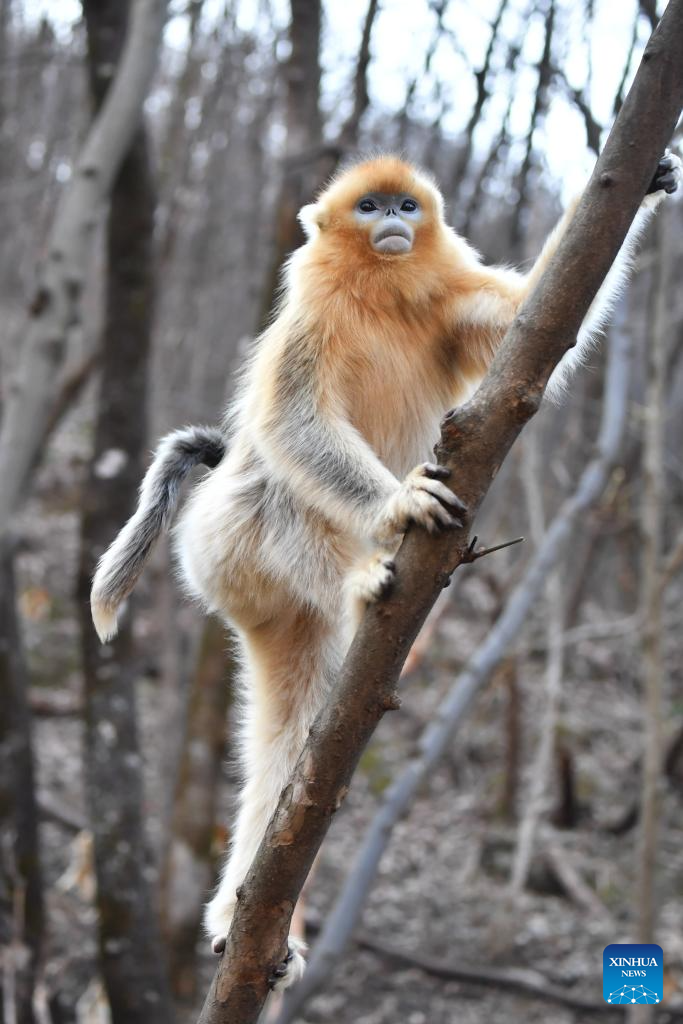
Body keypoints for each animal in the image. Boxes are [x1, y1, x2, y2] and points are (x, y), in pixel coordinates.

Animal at [90, 151, 681, 988]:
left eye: (405, 204)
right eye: (368, 207)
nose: (393, 222)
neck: (379, 290)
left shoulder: (455, 305)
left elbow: (533, 316)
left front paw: (646, 181)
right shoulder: (307, 323)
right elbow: (293, 421)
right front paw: (400, 502)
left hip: (267, 607)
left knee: (295, 750)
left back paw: (246, 917)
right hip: (221, 543)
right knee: (279, 484)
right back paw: (361, 582)